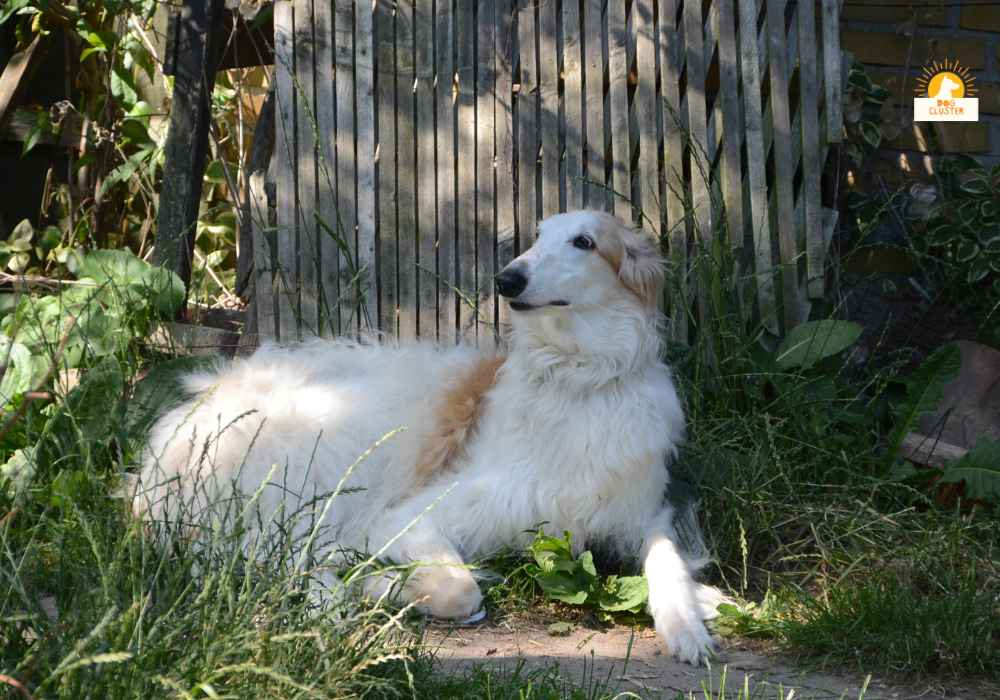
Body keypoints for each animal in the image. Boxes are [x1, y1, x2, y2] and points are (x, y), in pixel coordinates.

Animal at [137, 211, 724, 664]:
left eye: (584, 241)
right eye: (537, 235)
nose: (506, 279)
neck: (578, 382)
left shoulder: (643, 513)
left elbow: (667, 560)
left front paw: (689, 623)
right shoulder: (407, 516)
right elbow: (460, 588)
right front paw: (384, 582)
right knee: (286, 558)